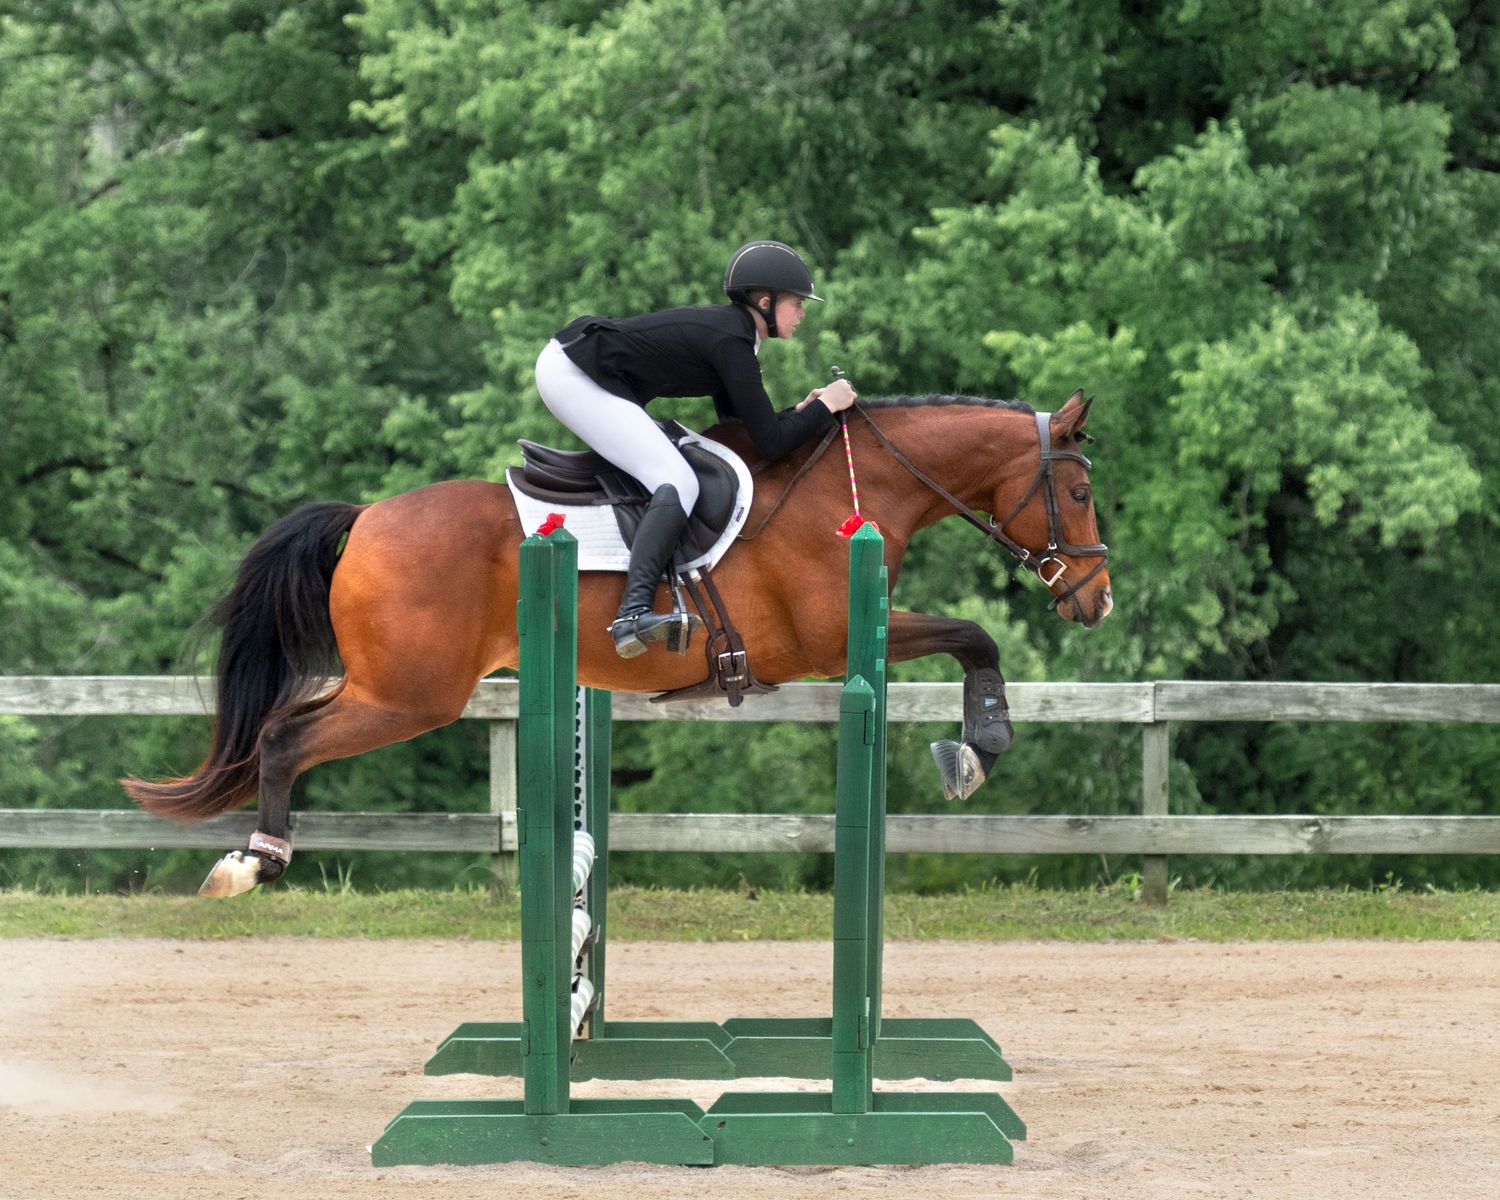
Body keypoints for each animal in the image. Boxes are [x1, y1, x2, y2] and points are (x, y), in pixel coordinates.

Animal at [122, 390, 1112, 896]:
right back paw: (253, 859)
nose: (1096, 599)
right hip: (412, 695)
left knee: (279, 727)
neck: (848, 485)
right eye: (1082, 491)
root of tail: (365, 518)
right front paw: (978, 750)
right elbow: (976, 635)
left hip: (388, 686)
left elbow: (971, 639)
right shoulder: (831, 641)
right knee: (285, 736)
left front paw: (974, 747)